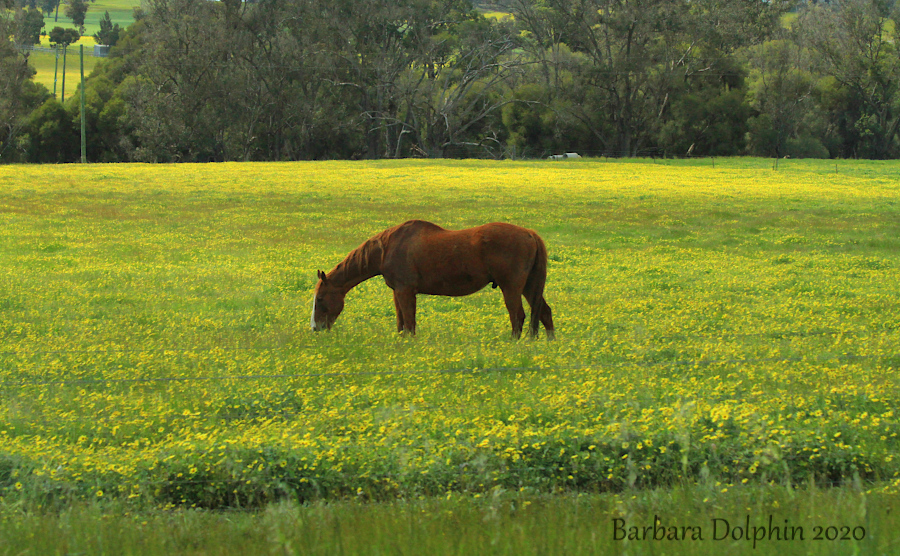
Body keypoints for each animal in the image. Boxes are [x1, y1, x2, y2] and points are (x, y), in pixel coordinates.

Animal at [312, 219, 556, 336]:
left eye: (320, 299)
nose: (316, 328)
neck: (386, 248)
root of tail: (530, 234)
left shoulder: (405, 291)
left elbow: (409, 323)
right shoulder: (398, 292)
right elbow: (401, 323)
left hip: (511, 287)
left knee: (518, 317)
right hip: (529, 286)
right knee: (543, 312)